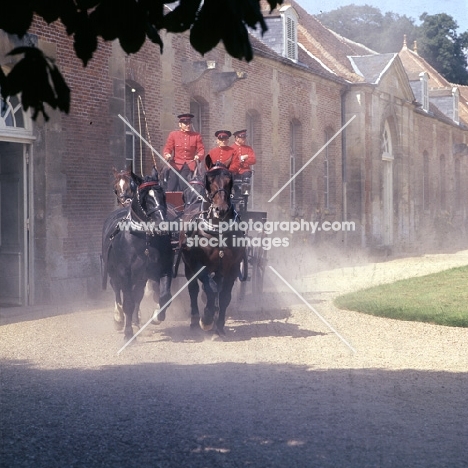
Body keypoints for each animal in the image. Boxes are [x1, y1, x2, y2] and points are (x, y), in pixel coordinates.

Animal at [103, 168, 174, 340]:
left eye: (163, 194)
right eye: (144, 198)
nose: (163, 224)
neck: (145, 238)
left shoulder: (163, 269)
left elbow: (164, 296)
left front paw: (157, 316)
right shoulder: (124, 272)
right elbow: (128, 302)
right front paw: (128, 333)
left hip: (141, 277)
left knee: (137, 295)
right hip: (114, 272)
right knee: (117, 290)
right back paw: (119, 318)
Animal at [180, 157, 245, 336]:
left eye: (230, 179)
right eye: (209, 180)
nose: (221, 209)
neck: (218, 230)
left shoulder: (232, 267)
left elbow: (224, 296)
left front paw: (220, 325)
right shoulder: (198, 264)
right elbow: (209, 290)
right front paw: (207, 319)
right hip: (188, 265)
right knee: (194, 289)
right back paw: (195, 320)